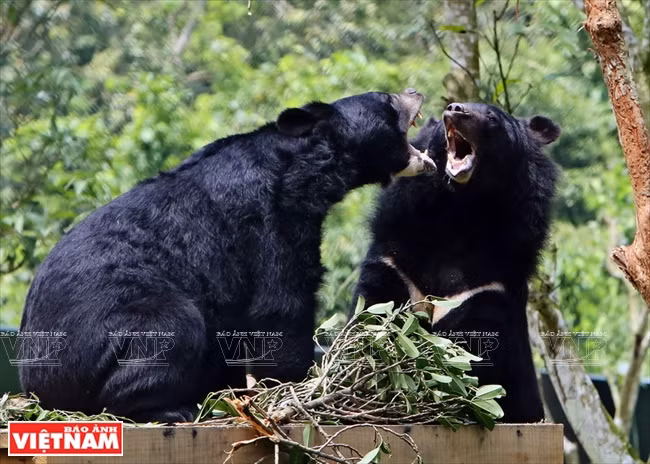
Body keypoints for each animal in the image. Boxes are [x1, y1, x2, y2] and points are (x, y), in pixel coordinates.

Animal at [19, 89, 435, 423]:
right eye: (387, 99)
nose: (415, 92)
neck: (302, 170)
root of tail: (35, 384)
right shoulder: (272, 222)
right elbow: (280, 303)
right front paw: (295, 383)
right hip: (109, 332)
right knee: (174, 328)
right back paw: (173, 409)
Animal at [353, 102, 560, 423]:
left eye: (492, 117)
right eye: (445, 114)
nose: (456, 110)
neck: (459, 209)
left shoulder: (489, 282)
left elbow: (475, 347)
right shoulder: (398, 254)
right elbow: (376, 306)